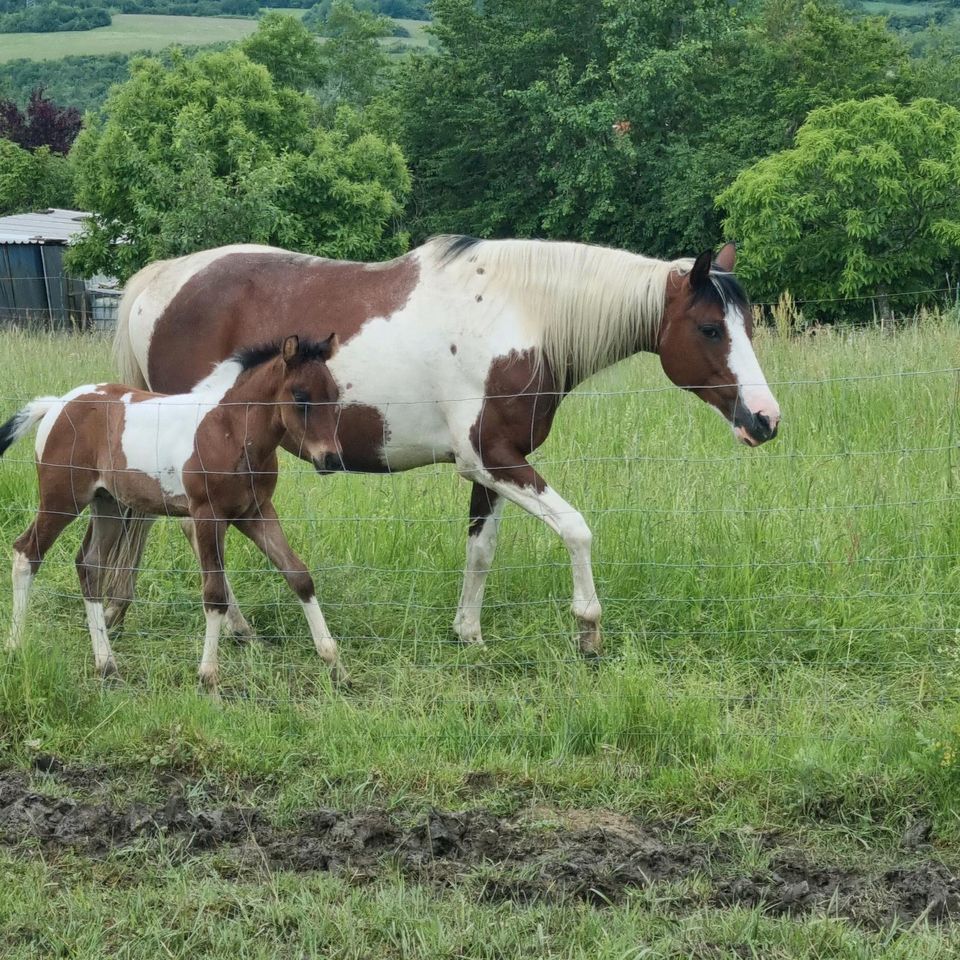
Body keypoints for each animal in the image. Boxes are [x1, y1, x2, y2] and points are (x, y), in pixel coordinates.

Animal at [0, 336, 344, 688]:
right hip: (62, 499)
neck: (229, 431)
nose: (330, 459)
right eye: (300, 396)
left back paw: (107, 664)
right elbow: (215, 594)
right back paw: (15, 646)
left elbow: (298, 575)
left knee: (90, 565)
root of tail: (58, 404)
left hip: (108, 503)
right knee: (27, 552)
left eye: (335, 395)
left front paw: (334, 663)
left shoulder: (255, 512)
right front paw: (208, 677)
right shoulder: (208, 515)